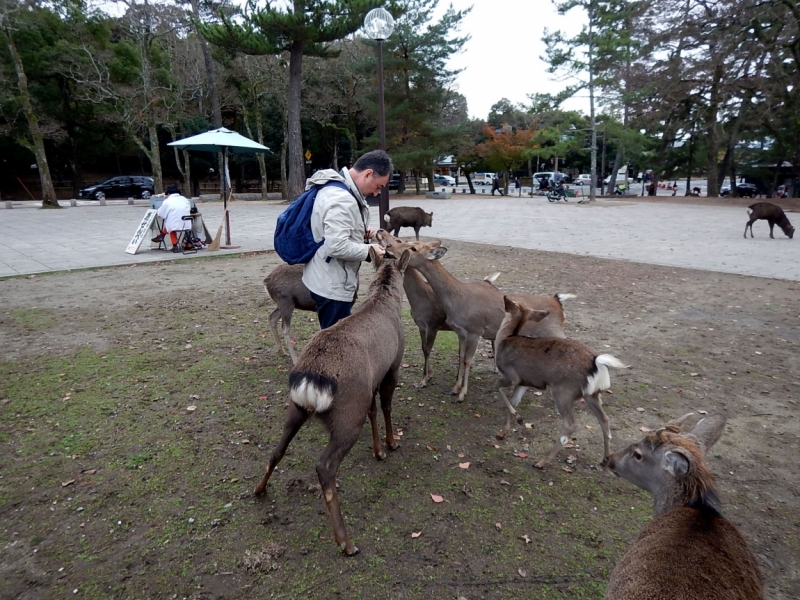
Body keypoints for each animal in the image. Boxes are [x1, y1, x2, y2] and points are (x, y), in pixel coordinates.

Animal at [253, 246, 410, 556]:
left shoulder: (369, 385)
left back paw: (259, 490)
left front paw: (378, 451)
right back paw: (345, 541)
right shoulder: (392, 367)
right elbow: (386, 407)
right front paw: (391, 443)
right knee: (324, 466)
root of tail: (310, 380)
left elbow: (373, 412)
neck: (388, 302)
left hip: (296, 409)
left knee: (277, 449)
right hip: (347, 416)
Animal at [382, 237, 576, 400]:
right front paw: (454, 389)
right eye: (407, 241)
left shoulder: (475, 330)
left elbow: (468, 360)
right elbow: (461, 357)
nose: (389, 246)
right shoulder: (461, 331)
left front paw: (461, 395)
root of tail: (558, 302)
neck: (458, 300)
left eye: (413, 248)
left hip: (553, 331)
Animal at [496, 298, 628, 466]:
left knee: (570, 423)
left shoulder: (512, 376)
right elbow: (513, 402)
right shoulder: (525, 382)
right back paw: (605, 458)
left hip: (563, 390)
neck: (504, 339)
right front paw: (503, 432)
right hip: (591, 394)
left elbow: (498, 387)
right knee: (604, 419)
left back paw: (542, 461)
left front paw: (517, 419)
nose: (503, 302)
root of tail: (596, 363)